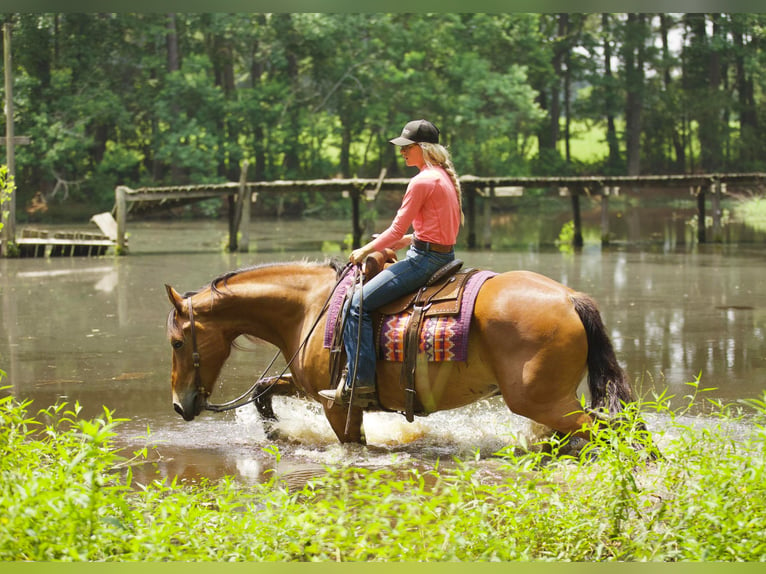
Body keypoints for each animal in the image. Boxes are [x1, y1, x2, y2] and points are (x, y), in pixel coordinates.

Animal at [165, 260, 640, 446]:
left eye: (176, 342)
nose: (179, 406)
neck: (310, 308)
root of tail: (570, 298)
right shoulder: (312, 388)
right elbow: (263, 389)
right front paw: (274, 431)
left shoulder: (339, 405)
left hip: (542, 400)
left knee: (611, 430)